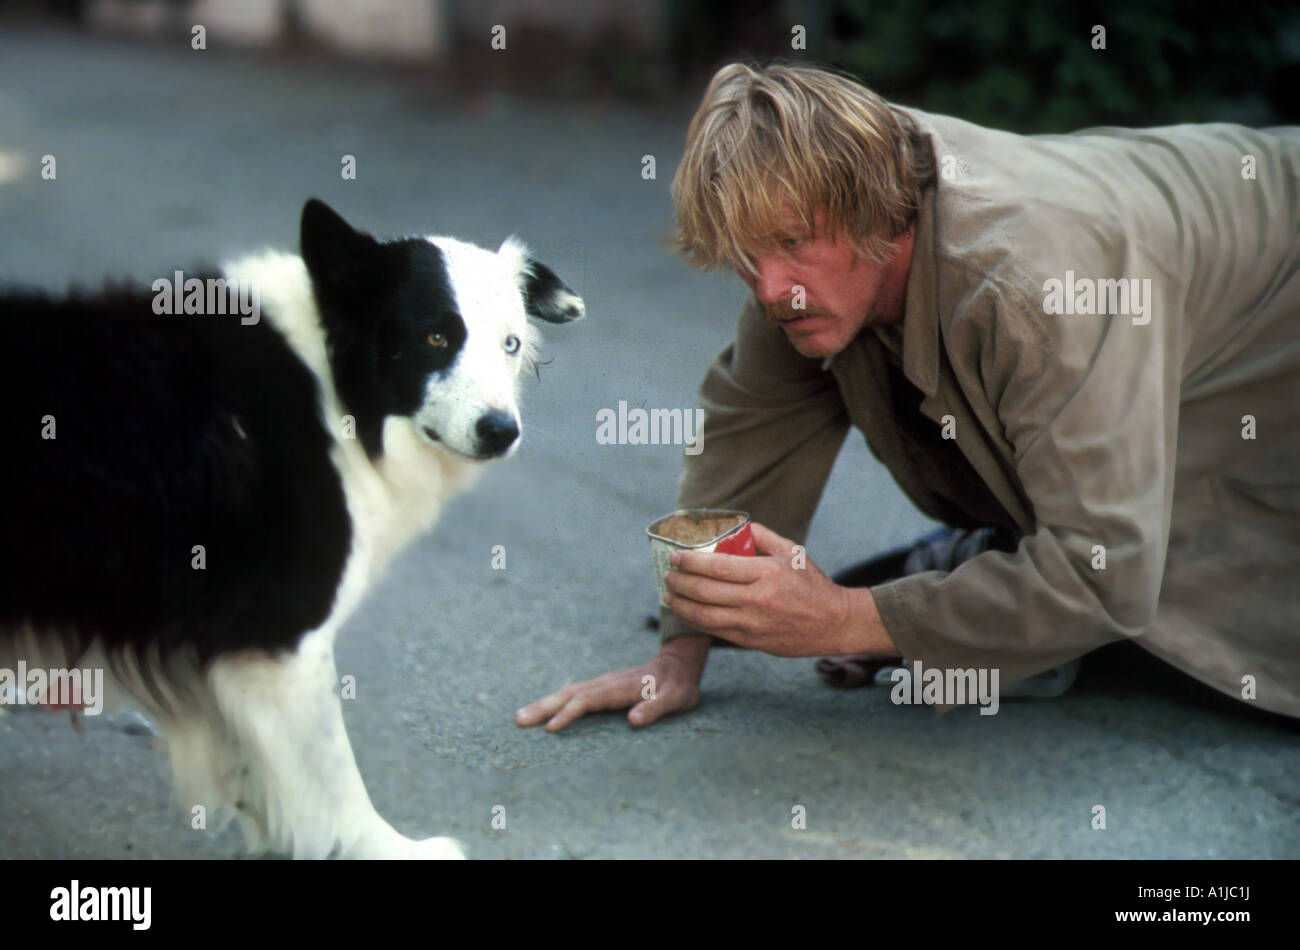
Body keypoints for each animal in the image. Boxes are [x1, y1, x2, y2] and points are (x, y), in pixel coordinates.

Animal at [0, 200, 585, 862]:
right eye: (436, 337)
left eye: (510, 344)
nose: (501, 432)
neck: (336, 389)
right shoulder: (282, 639)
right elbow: (331, 774)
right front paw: (381, 847)